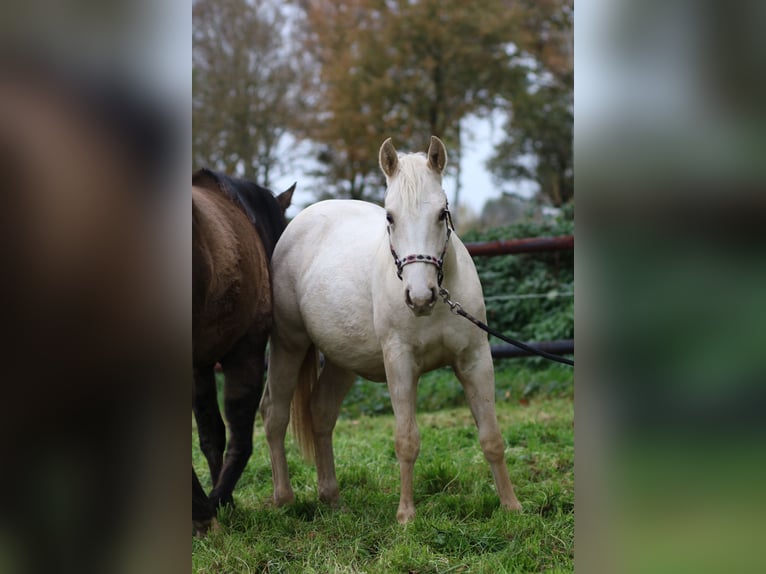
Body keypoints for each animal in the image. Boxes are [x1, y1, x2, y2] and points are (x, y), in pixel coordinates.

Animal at [194, 168, 296, 536]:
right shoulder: (246, 351)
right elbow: (241, 433)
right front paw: (219, 500)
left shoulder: (200, 365)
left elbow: (212, 433)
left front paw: (223, 499)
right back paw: (201, 512)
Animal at [262, 137, 520, 524]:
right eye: (390, 216)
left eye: (442, 213)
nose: (420, 297)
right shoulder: (400, 363)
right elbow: (407, 440)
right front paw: (406, 515)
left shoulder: (475, 360)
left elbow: (491, 437)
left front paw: (511, 506)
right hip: (288, 346)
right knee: (275, 416)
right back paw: (283, 499)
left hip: (342, 361)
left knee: (320, 413)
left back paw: (331, 497)